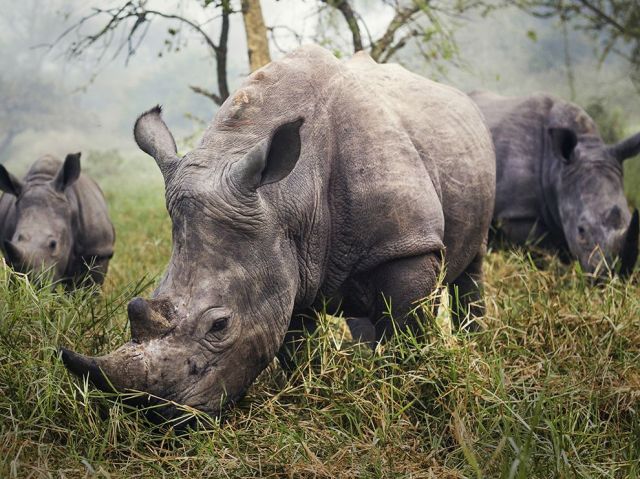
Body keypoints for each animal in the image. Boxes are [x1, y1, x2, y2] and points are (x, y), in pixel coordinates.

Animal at [61, 45, 495, 417]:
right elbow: (293, 344)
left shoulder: (407, 245)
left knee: (470, 265)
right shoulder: (286, 256)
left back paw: (472, 342)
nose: (160, 415)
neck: (287, 195)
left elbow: (405, 329)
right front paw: (306, 392)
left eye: (220, 325)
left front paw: (401, 392)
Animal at [470, 91, 640, 277]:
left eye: (629, 217)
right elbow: (537, 249)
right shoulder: (517, 212)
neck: (557, 169)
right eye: (581, 231)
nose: (613, 275)